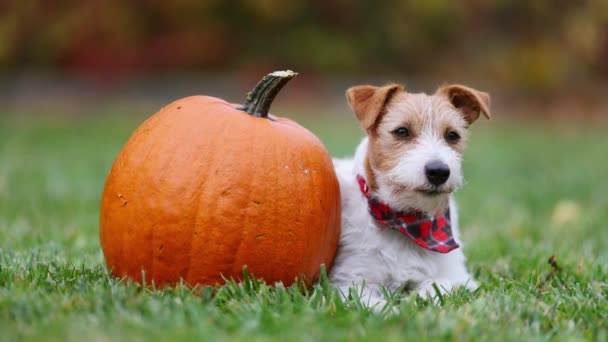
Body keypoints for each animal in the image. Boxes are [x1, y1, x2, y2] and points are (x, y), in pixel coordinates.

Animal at [328, 81, 490, 306]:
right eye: (402, 131)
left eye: (452, 135)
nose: (439, 172)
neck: (406, 222)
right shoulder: (351, 282)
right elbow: (375, 305)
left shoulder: (457, 277)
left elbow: (438, 287)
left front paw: (414, 300)